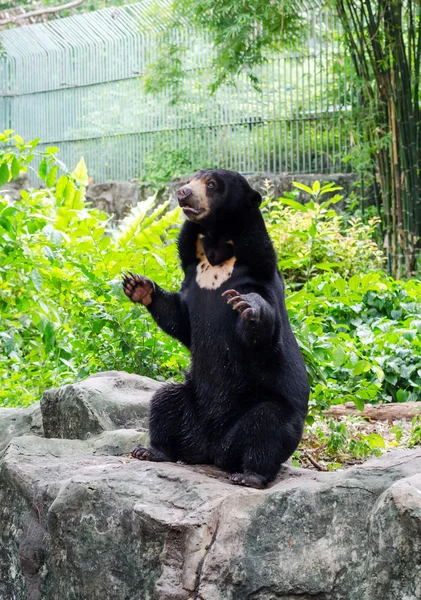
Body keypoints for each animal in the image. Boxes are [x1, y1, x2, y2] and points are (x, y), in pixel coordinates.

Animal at [121, 169, 308, 488]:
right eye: (189, 178)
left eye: (211, 185)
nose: (183, 193)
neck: (217, 251)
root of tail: (212, 450)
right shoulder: (193, 277)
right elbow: (181, 318)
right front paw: (139, 285)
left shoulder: (257, 275)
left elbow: (266, 340)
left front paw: (248, 307)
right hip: (190, 401)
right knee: (165, 400)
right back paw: (151, 450)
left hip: (269, 416)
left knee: (268, 426)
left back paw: (250, 475)